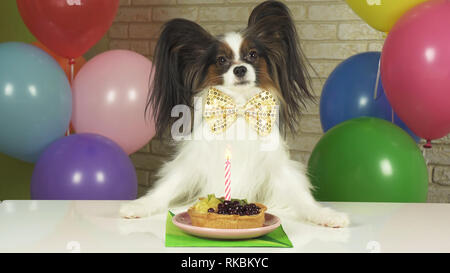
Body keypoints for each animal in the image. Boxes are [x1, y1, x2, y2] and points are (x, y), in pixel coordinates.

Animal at [121, 0, 350, 227]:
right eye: (221, 60)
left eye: (253, 55)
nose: (240, 69)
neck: (239, 107)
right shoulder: (193, 163)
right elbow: (166, 187)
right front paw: (139, 206)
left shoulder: (277, 167)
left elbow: (301, 196)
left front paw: (325, 215)